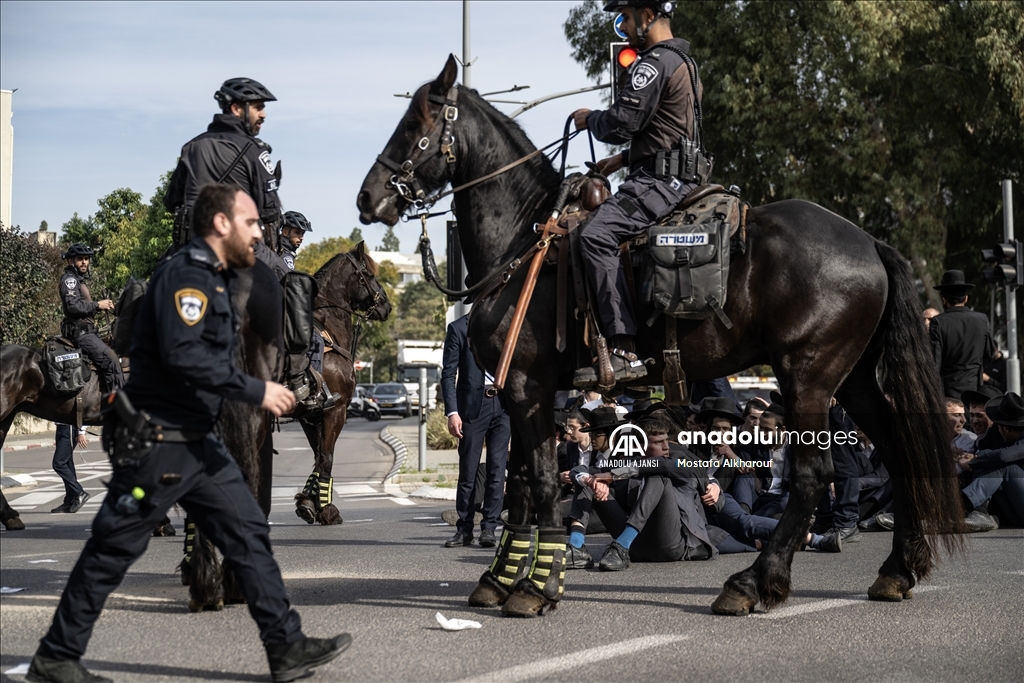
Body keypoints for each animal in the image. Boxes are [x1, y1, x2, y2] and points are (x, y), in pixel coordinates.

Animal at [356, 56, 962, 618]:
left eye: (415, 124)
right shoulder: (526, 395)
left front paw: (537, 587)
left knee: (814, 477)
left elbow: (544, 483)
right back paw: (896, 570)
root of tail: (869, 242)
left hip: (807, 376)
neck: (524, 243)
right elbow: (522, 483)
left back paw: (752, 583)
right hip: (853, 380)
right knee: (902, 453)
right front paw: (501, 578)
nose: (367, 199)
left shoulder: (527, 389)